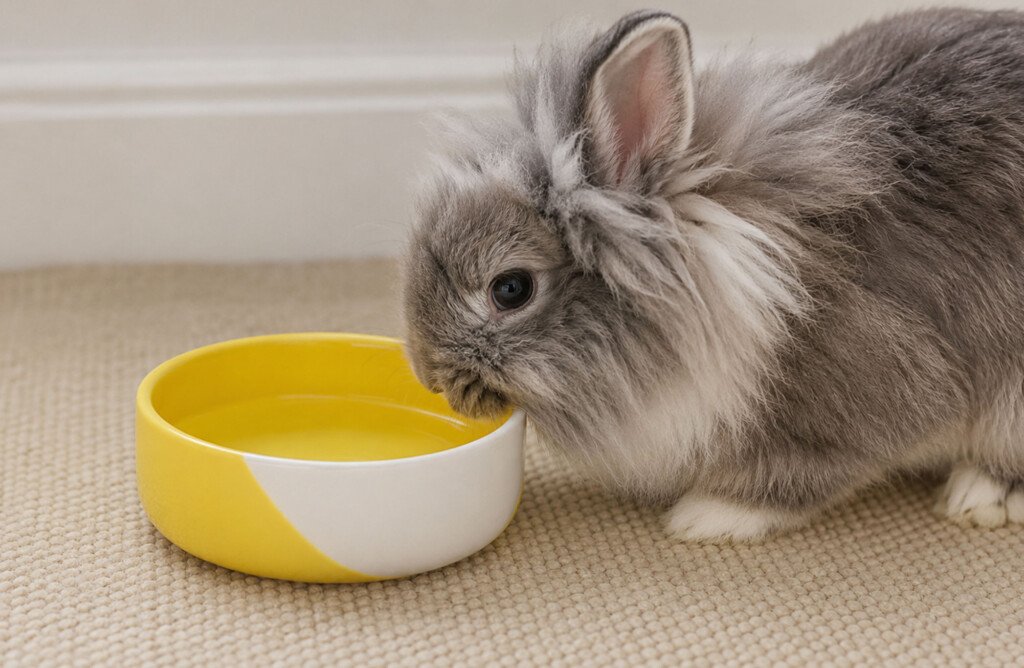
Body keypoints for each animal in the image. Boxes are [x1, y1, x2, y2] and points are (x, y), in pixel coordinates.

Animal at [401, 7, 1024, 542]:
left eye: (511, 289)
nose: (430, 376)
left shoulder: (876, 399)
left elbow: (803, 475)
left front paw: (708, 516)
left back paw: (977, 496)